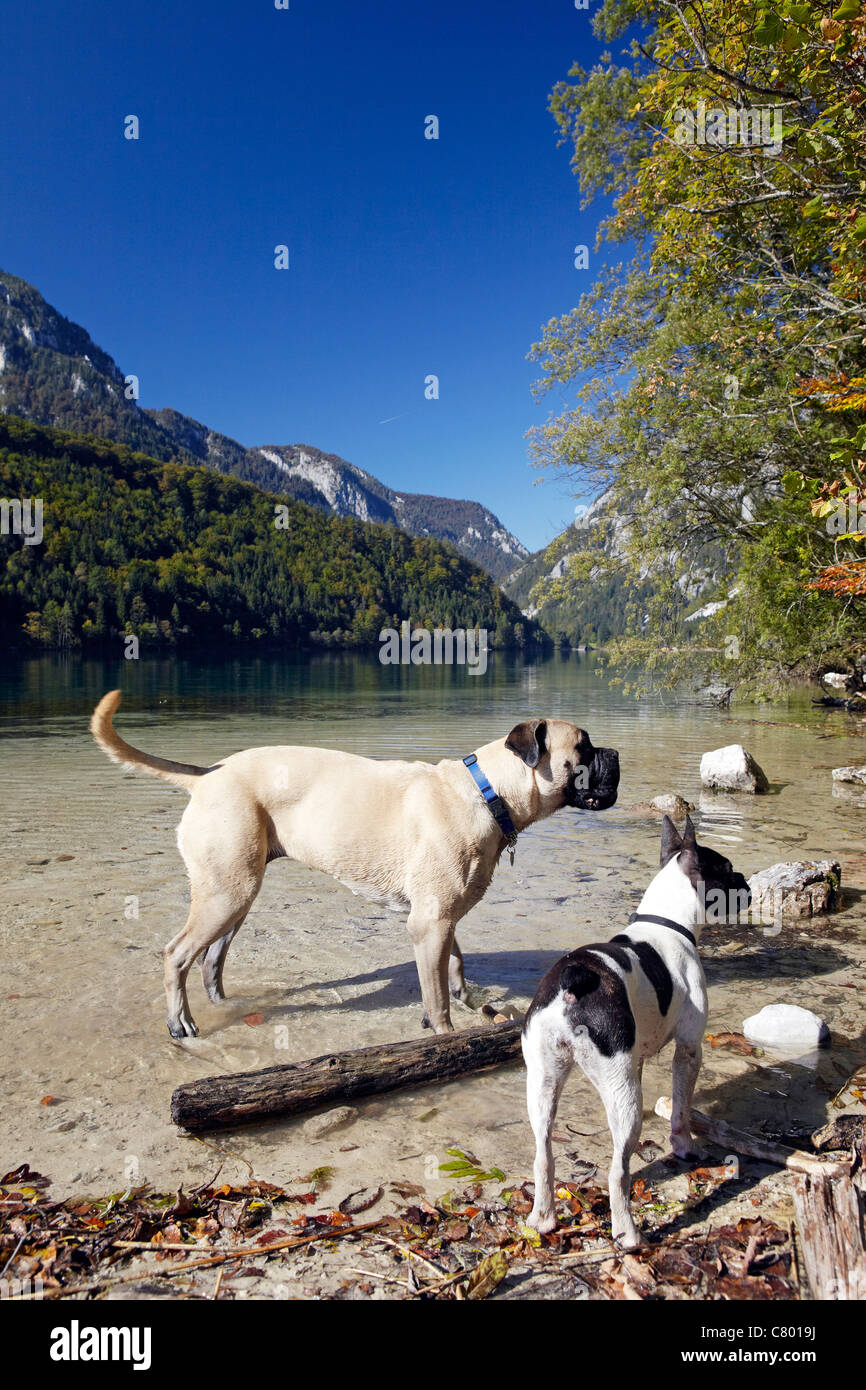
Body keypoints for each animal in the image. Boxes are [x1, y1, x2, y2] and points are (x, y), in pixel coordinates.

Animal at [91, 689, 619, 1039]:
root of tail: (207, 777)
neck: (488, 793)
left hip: (235, 893)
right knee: (176, 954)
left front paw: (467, 1004)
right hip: (225, 893)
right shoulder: (430, 922)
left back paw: (227, 1003)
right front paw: (444, 1032)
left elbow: (454, 966)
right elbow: (436, 994)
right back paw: (179, 1021)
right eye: (584, 746)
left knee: (211, 958)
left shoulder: (441, 918)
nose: (615, 753)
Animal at [522, 811, 750, 1251]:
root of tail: (574, 981)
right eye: (728, 869)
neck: (670, 923)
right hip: (618, 1092)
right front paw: (685, 1147)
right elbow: (681, 1108)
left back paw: (543, 1219)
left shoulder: (636, 1059)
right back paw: (628, 1232)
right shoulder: (689, 1049)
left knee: (543, 1153)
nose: (746, 880)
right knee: (618, 1170)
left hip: (544, 1080)